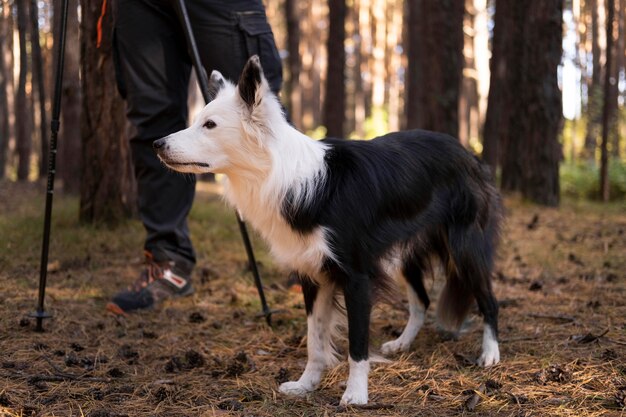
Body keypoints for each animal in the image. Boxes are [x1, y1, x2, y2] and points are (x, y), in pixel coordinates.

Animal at [156, 55, 502, 404]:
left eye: (210, 125)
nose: (157, 143)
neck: (282, 175)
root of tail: (466, 152)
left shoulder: (356, 276)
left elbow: (357, 344)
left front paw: (356, 393)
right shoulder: (313, 274)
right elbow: (315, 339)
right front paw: (306, 384)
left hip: (465, 248)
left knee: (488, 300)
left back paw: (490, 354)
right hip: (404, 254)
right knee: (421, 301)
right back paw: (403, 343)